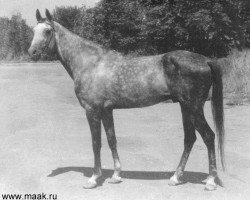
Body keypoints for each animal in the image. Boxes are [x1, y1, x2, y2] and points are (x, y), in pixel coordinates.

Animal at [28, 9, 226, 191]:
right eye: (33, 30)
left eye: (47, 31)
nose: (32, 52)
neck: (90, 63)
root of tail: (206, 60)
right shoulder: (107, 110)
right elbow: (111, 140)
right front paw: (116, 175)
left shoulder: (92, 110)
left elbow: (96, 143)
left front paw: (94, 178)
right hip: (185, 107)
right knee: (190, 138)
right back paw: (176, 177)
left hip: (194, 107)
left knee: (209, 136)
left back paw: (210, 181)